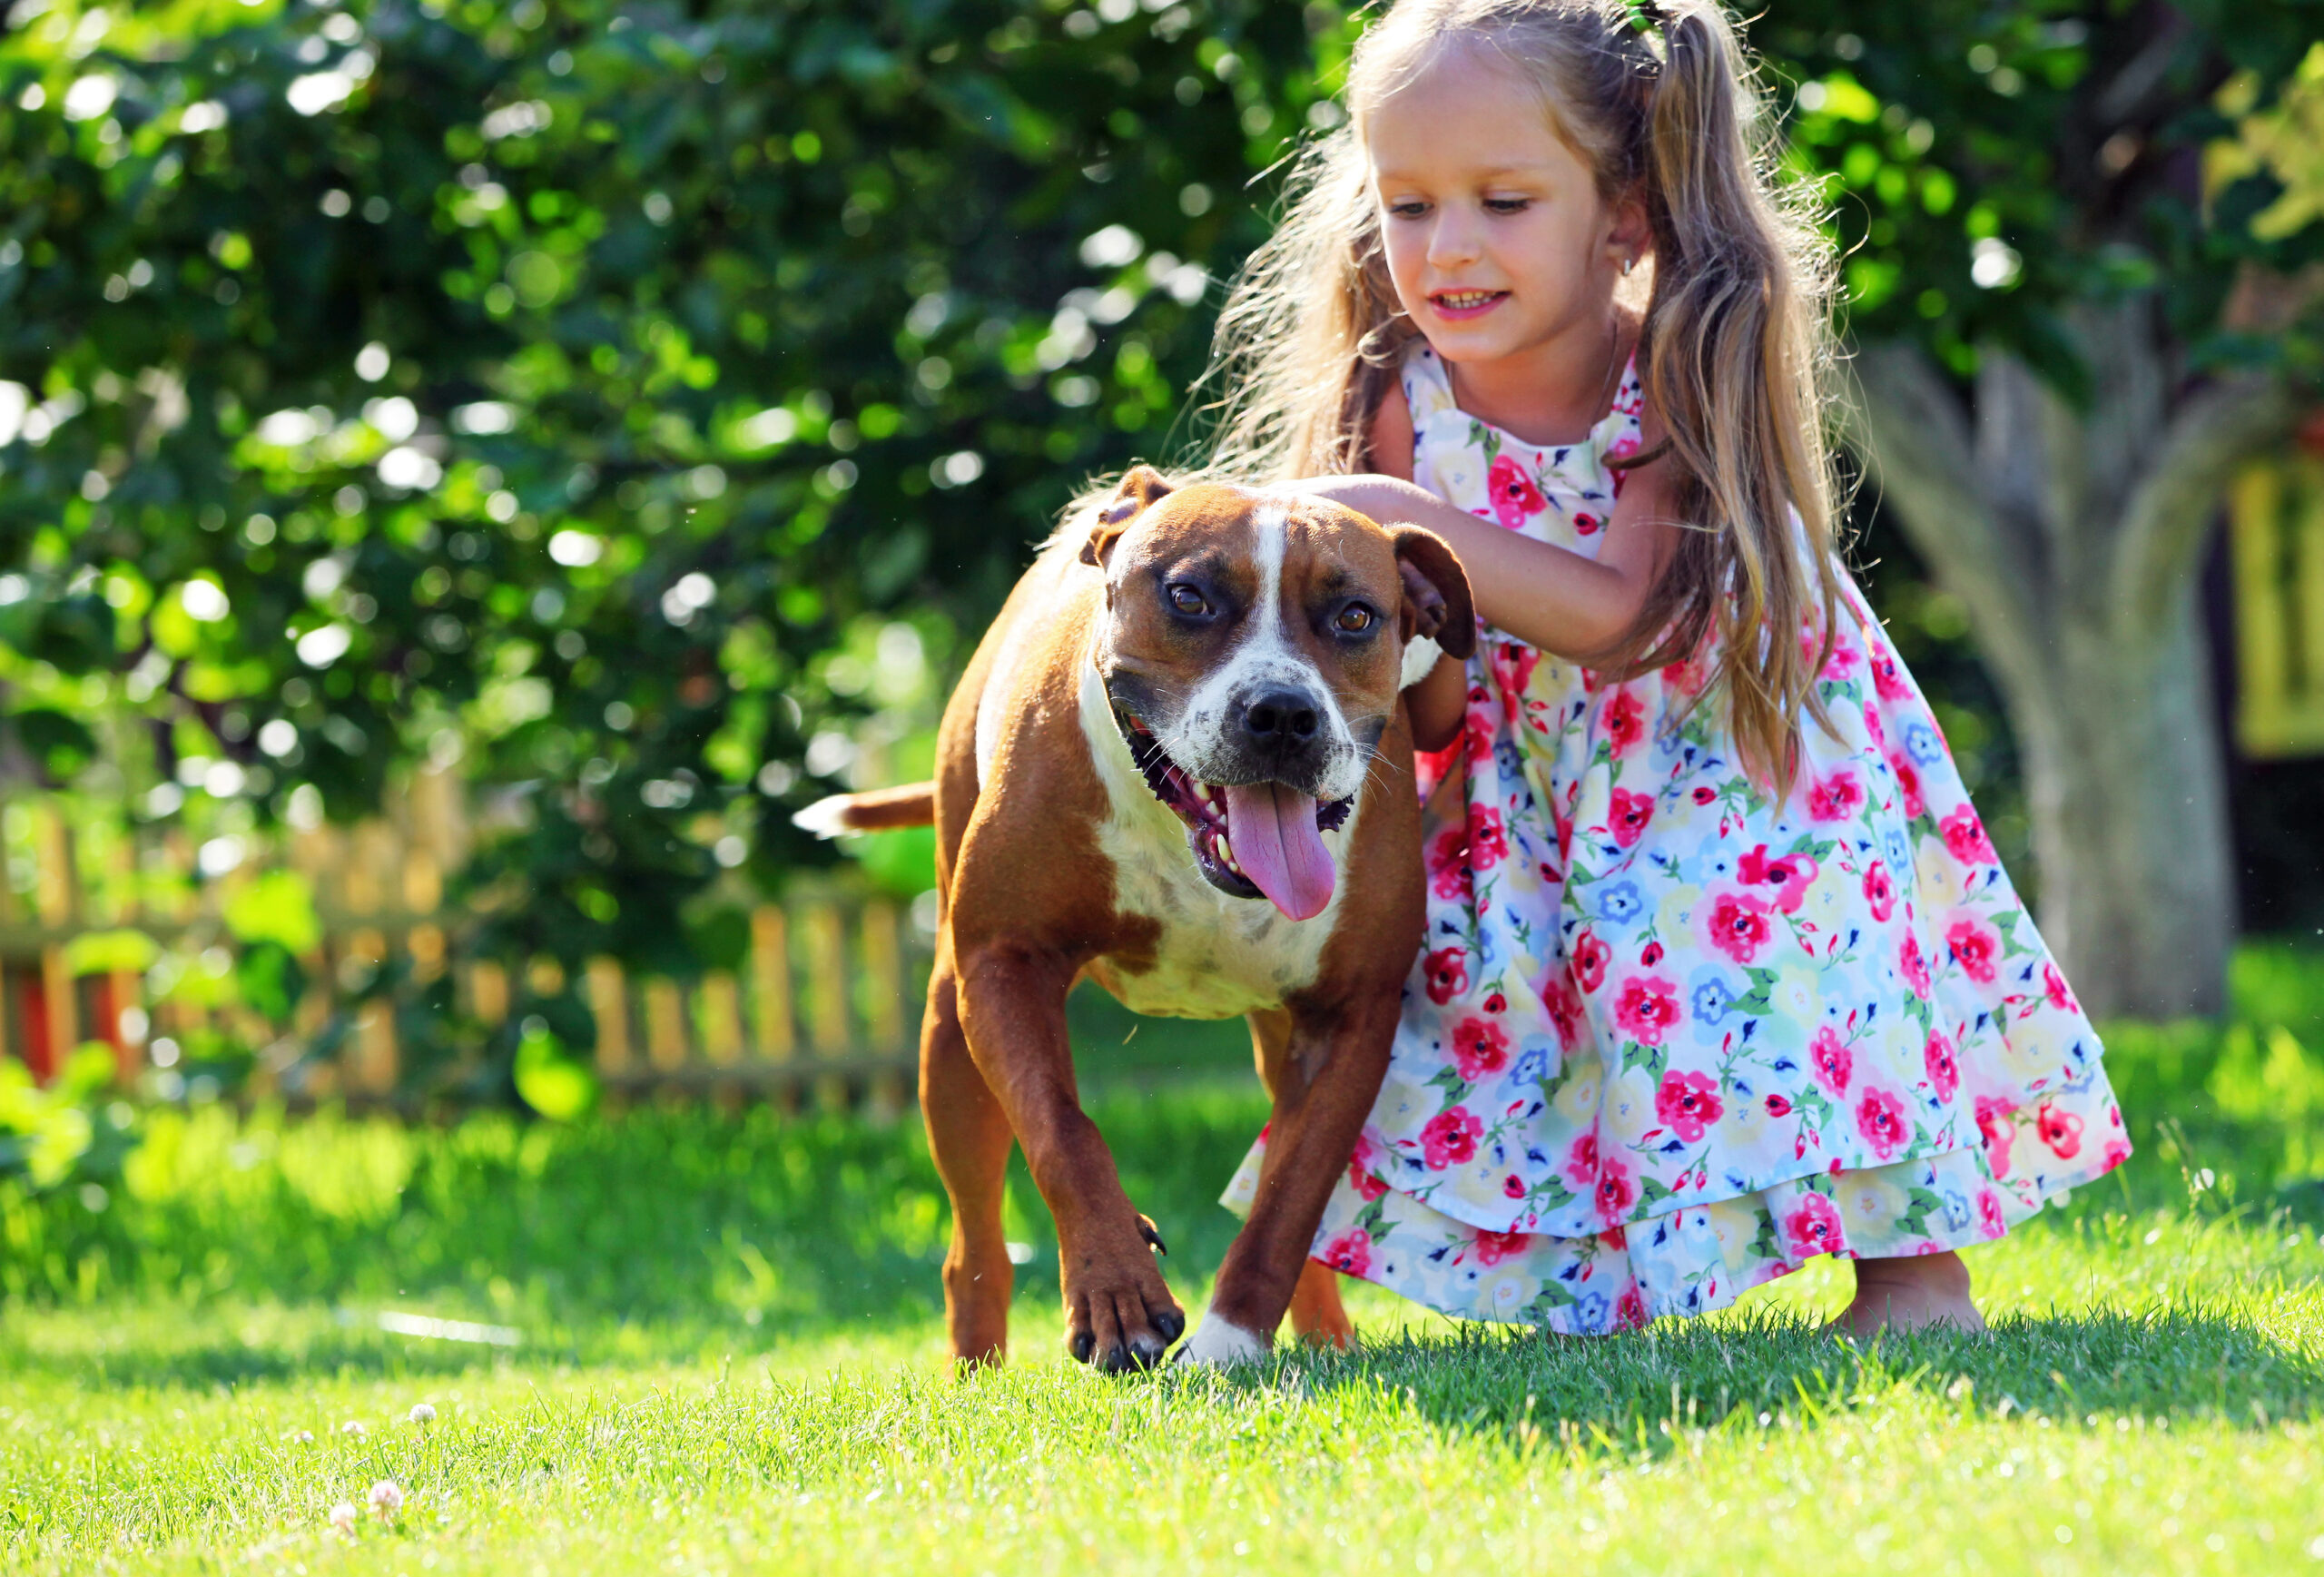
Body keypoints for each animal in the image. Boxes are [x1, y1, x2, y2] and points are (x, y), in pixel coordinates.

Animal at [790, 468, 1459, 1365]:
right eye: (1189, 596)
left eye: (1355, 616)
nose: (1284, 712)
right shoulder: (1005, 962)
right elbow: (1062, 1128)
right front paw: (1116, 1292)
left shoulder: (1350, 1017)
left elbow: (1289, 1198)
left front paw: (1229, 1343)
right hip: (946, 1035)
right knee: (975, 1241)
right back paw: (975, 1371)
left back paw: (1322, 1337)